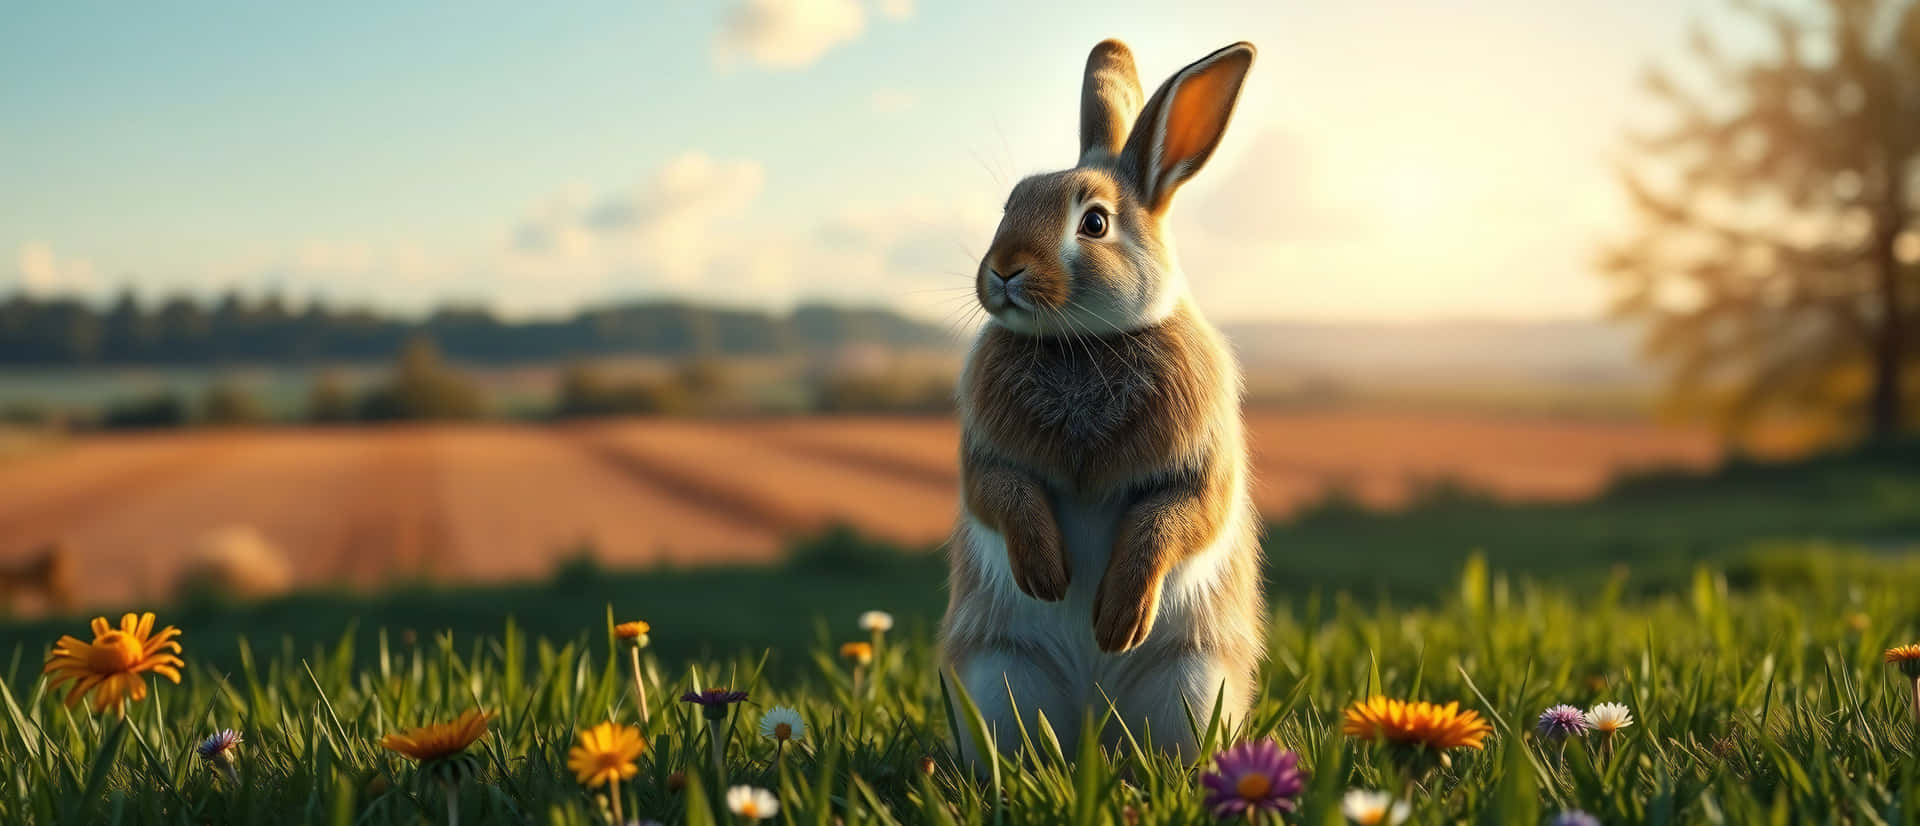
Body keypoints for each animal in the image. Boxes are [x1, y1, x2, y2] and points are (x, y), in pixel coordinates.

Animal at [939, 38, 1264, 761]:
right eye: (1010, 203)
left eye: (1094, 223)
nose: (1003, 270)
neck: (1081, 342)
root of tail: (1094, 723)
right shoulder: (987, 460)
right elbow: (1003, 493)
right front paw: (1048, 579)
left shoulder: (1199, 469)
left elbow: (1174, 519)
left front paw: (1118, 624)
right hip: (1003, 675)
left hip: (1190, 682)